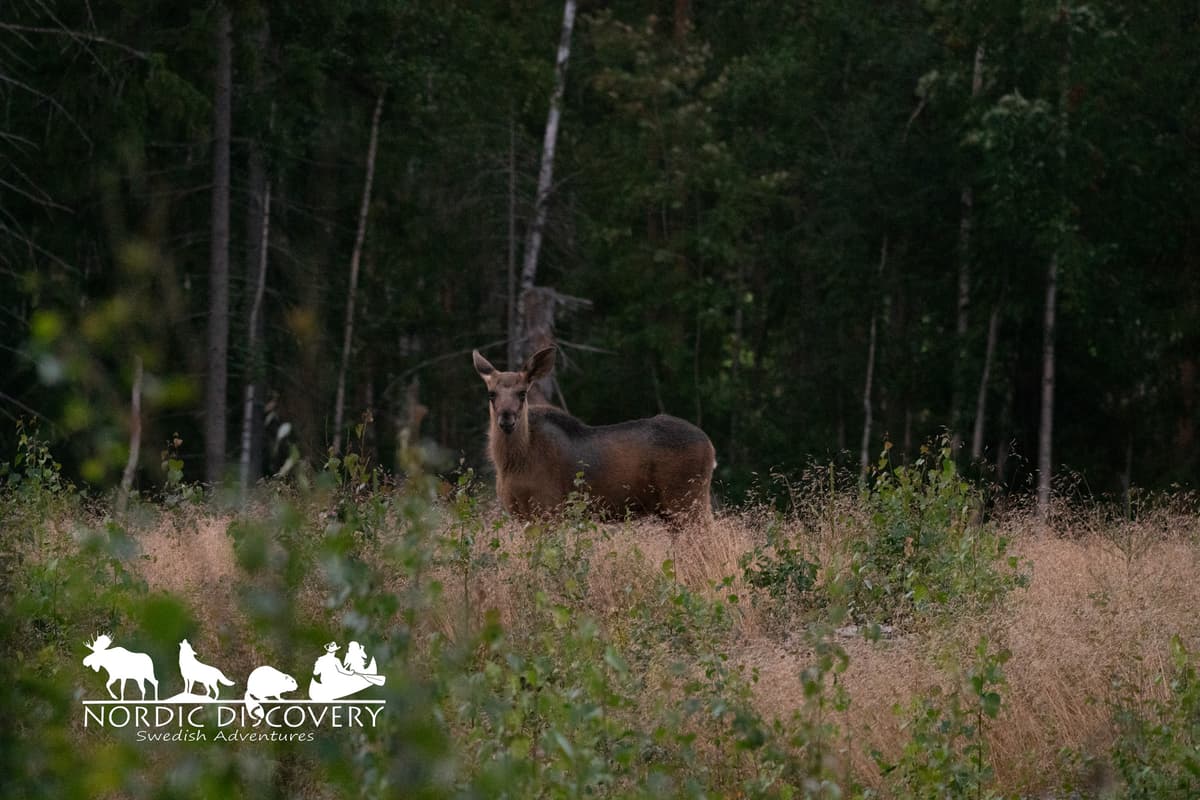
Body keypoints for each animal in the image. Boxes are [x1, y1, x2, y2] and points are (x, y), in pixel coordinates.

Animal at [472, 346, 715, 523]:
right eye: (491, 394)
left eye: (522, 393)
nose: (506, 419)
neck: (511, 463)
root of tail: (711, 448)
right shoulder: (518, 513)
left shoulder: (549, 507)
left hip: (687, 500)